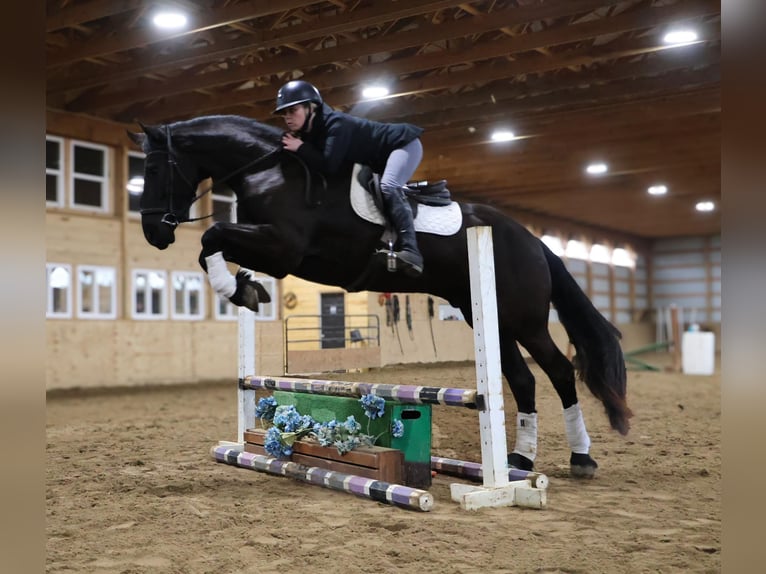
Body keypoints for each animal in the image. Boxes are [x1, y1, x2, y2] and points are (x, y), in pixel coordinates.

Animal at [128, 114, 632, 478]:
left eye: (151, 168)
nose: (153, 232)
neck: (269, 169)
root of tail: (533, 240)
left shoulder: (285, 248)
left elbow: (210, 235)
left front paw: (237, 288)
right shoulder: (273, 247)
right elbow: (211, 244)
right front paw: (244, 288)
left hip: (522, 317)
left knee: (560, 371)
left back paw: (581, 459)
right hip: (485, 315)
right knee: (523, 380)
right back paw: (520, 460)